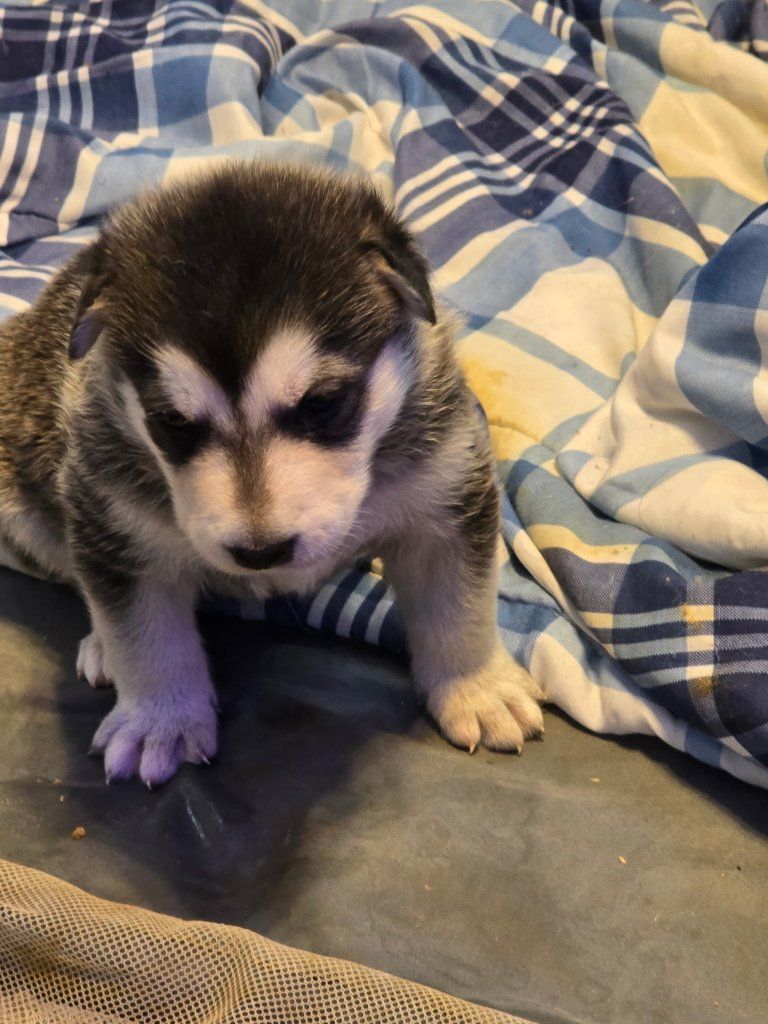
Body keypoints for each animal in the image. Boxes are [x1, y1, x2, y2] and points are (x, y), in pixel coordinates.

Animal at [0, 162, 544, 786]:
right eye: (171, 421)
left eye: (322, 402)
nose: (260, 552)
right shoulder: (111, 523)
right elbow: (144, 637)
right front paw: (158, 719)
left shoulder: (445, 494)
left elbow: (459, 606)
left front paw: (476, 687)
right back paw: (99, 646)